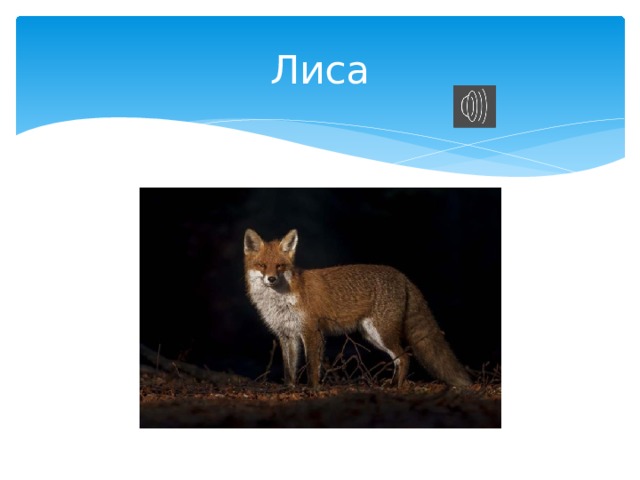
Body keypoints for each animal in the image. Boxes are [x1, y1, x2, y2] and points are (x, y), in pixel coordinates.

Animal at [243, 228, 472, 389]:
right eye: (262, 265)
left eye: (280, 266)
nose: (271, 279)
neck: (281, 300)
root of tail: (402, 275)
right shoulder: (287, 335)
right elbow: (289, 369)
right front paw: (290, 389)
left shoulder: (312, 331)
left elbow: (312, 368)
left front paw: (312, 390)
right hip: (371, 335)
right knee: (399, 358)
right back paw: (392, 384)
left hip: (381, 333)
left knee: (405, 357)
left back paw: (397, 387)